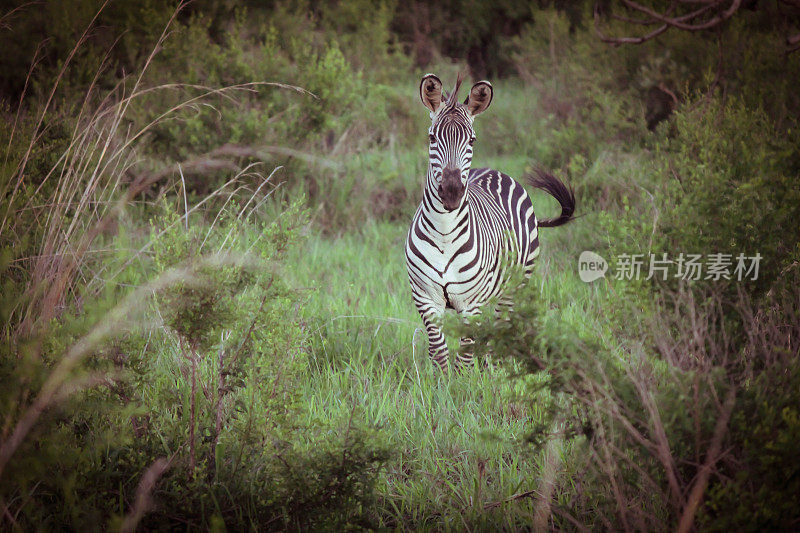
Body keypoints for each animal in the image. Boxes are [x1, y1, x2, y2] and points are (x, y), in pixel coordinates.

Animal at [406, 72, 576, 368]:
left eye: (472, 141)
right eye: (432, 137)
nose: (451, 193)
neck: (444, 233)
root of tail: (495, 172)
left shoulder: (470, 302)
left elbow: (464, 356)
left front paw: (463, 381)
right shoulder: (425, 297)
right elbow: (439, 353)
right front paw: (438, 380)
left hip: (515, 286)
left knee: (500, 327)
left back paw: (494, 368)